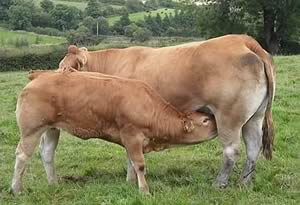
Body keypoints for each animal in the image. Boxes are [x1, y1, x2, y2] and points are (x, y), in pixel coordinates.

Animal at [11, 70, 217, 194]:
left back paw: (53, 183)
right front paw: (144, 191)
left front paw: (130, 183)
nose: (218, 125)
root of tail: (41, 74)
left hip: (51, 128)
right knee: (22, 155)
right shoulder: (132, 134)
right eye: (205, 121)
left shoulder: (130, 139)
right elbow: (139, 164)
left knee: (47, 153)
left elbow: (131, 162)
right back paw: (16, 189)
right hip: (31, 129)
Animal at [57, 34, 276, 187]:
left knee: (231, 150)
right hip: (254, 117)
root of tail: (243, 40)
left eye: (67, 68)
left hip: (228, 116)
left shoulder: (128, 122)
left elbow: (130, 154)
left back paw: (219, 183)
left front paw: (130, 180)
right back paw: (244, 183)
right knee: (253, 147)